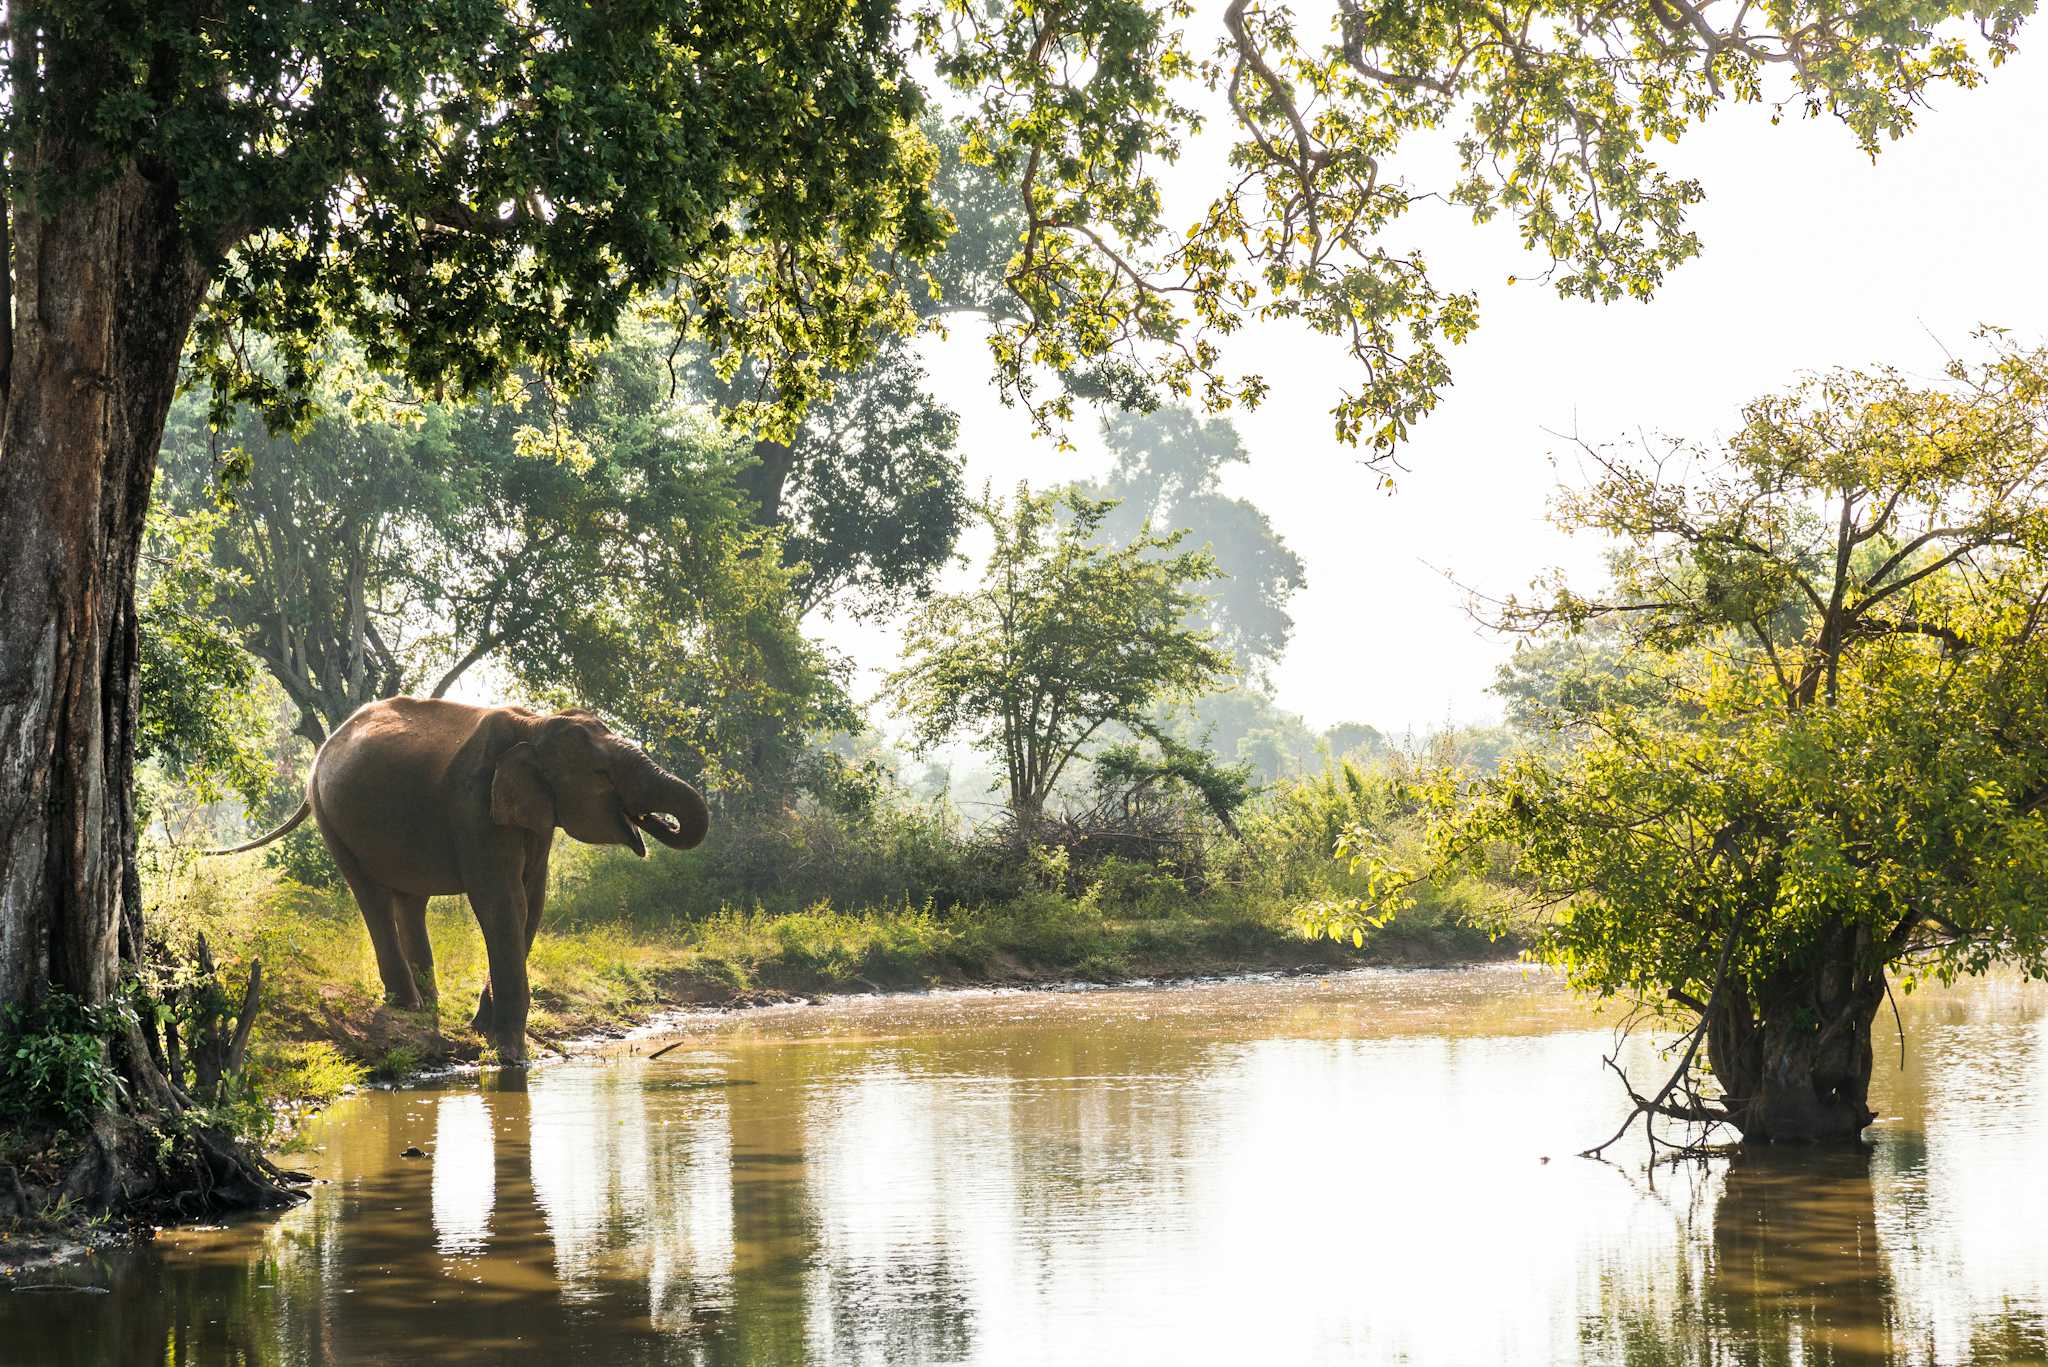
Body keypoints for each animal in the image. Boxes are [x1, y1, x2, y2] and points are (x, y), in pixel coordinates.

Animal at [214, 700, 712, 1065]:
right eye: (601, 774)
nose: (653, 821)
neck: (534, 724)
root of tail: (324, 748)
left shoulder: (531, 815)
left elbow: (532, 900)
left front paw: (483, 1030)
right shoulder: (473, 804)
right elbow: (501, 900)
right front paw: (510, 1054)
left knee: (409, 900)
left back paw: (428, 1005)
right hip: (330, 815)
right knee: (371, 896)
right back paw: (408, 1006)